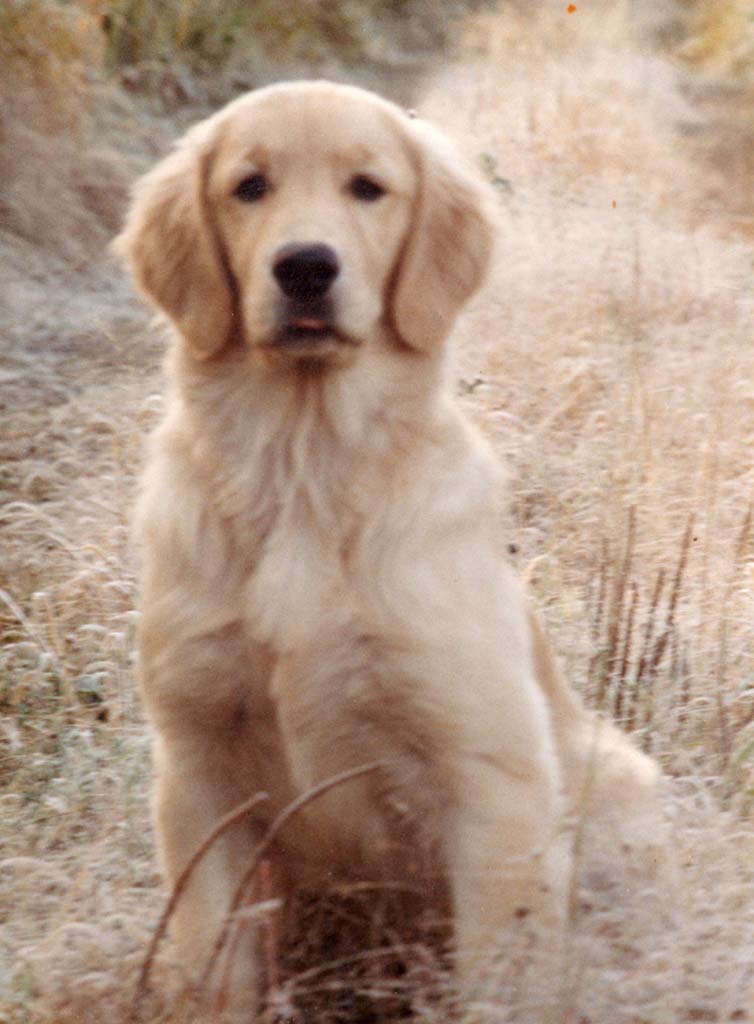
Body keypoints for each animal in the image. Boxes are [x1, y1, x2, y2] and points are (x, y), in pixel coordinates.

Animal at [114, 77, 655, 1015]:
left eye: (368, 188)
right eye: (249, 187)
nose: (305, 266)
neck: (304, 470)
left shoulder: (492, 776)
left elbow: (499, 978)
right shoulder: (196, 773)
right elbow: (218, 970)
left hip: (616, 777)